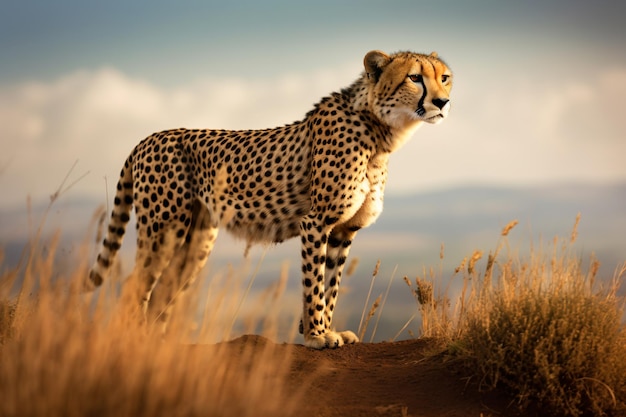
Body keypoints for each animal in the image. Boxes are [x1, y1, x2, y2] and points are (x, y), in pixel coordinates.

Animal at [88, 49, 450, 348]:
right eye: (414, 77)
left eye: (444, 77)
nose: (443, 102)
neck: (380, 131)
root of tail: (148, 138)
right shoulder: (316, 222)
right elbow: (314, 282)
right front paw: (317, 336)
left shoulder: (343, 230)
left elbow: (331, 285)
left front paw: (326, 329)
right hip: (164, 230)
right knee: (136, 285)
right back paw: (136, 345)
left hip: (196, 240)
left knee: (162, 290)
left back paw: (161, 347)